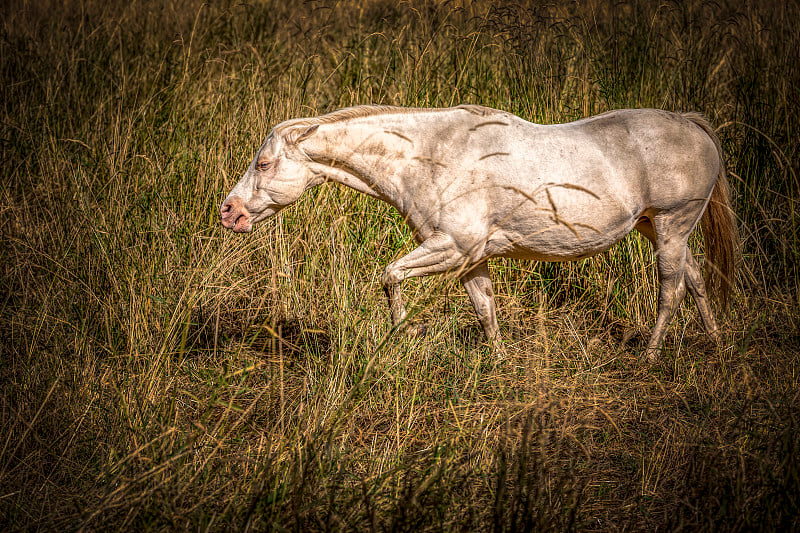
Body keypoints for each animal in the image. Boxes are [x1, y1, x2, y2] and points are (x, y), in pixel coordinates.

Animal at [220, 105, 736, 360]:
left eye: (262, 164)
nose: (229, 212)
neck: (432, 155)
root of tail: (692, 125)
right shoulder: (472, 258)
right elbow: (485, 310)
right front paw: (500, 363)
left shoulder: (452, 247)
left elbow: (390, 276)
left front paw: (401, 333)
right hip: (658, 229)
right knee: (695, 280)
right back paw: (715, 344)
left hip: (671, 225)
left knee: (671, 290)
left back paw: (650, 356)